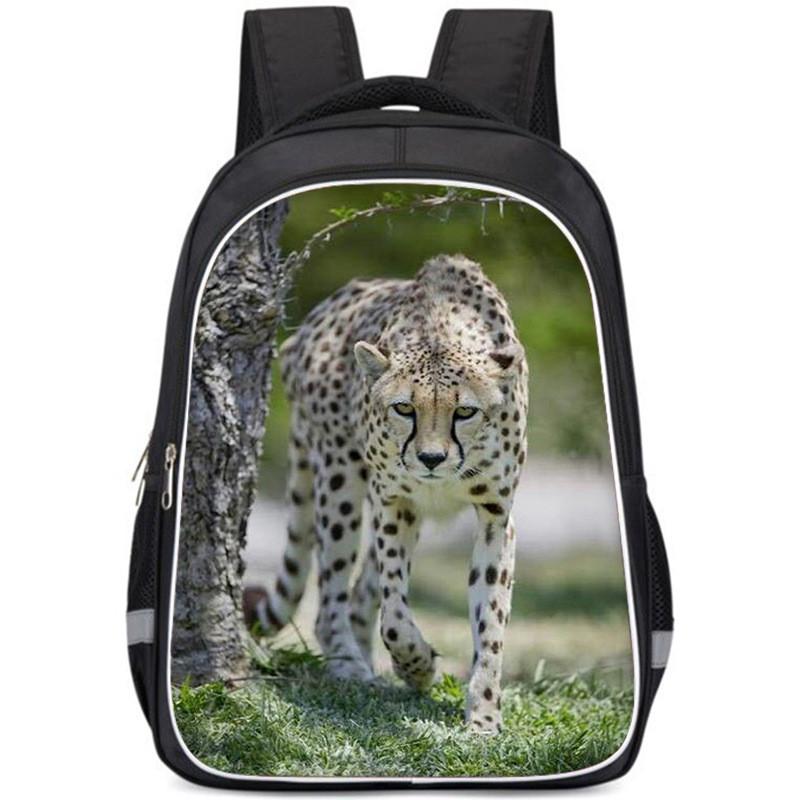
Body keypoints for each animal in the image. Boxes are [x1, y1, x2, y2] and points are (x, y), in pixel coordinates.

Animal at [245, 253, 528, 733]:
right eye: (404, 408)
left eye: (465, 412)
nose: (431, 458)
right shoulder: (395, 504)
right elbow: (394, 615)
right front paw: (418, 665)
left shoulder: (495, 516)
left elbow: (491, 621)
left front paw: (484, 718)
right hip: (339, 481)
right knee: (332, 599)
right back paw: (350, 666)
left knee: (361, 594)